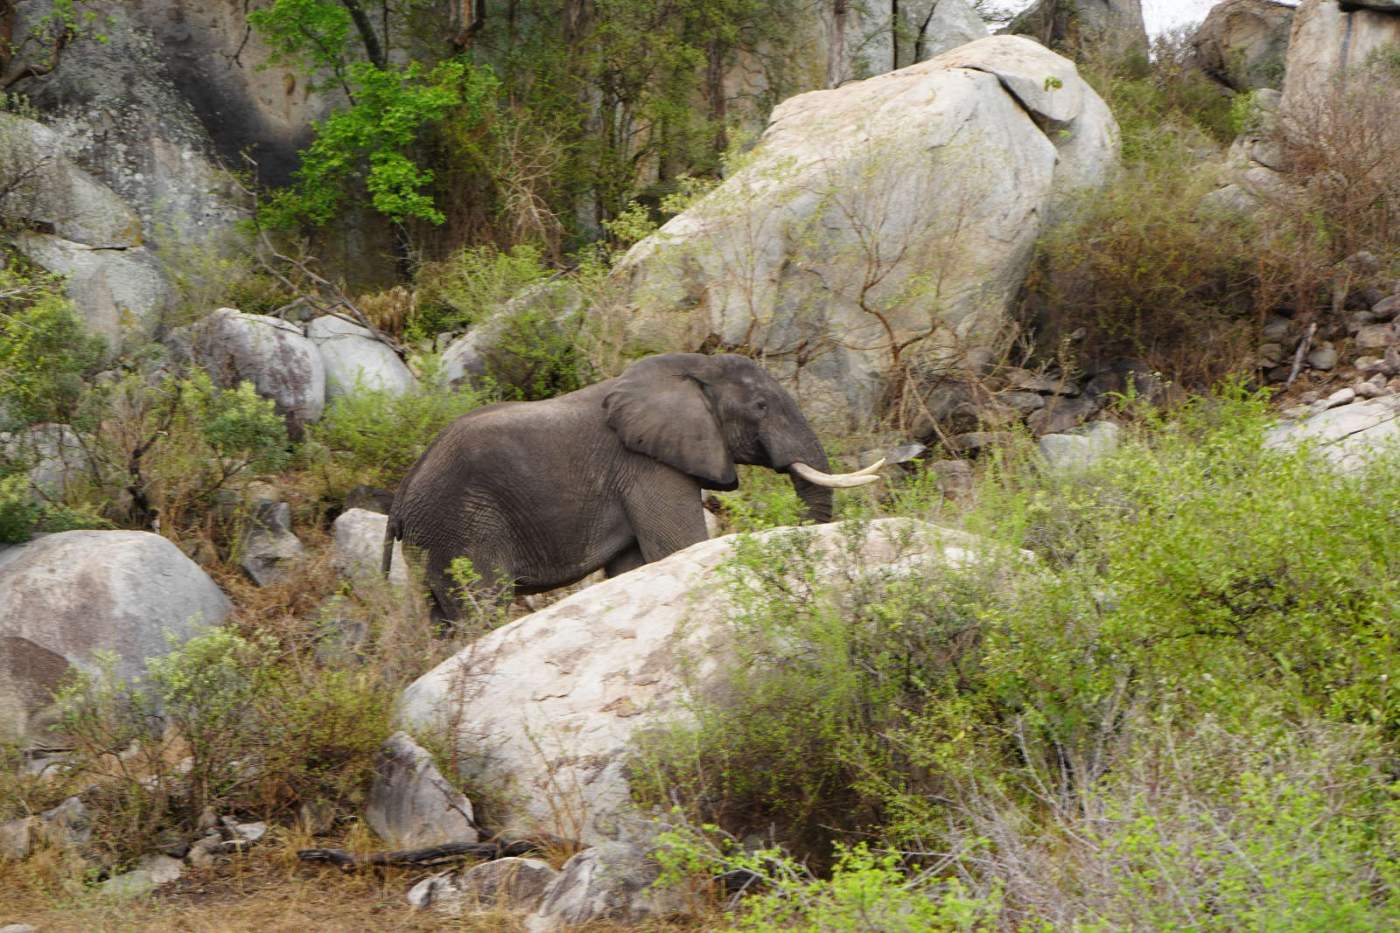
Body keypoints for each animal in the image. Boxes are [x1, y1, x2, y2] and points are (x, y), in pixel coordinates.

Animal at [380, 348, 884, 616]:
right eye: (760, 406)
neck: (693, 368)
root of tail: (400, 499)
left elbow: (632, 567)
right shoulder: (647, 466)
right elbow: (678, 548)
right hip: (457, 527)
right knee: (480, 610)